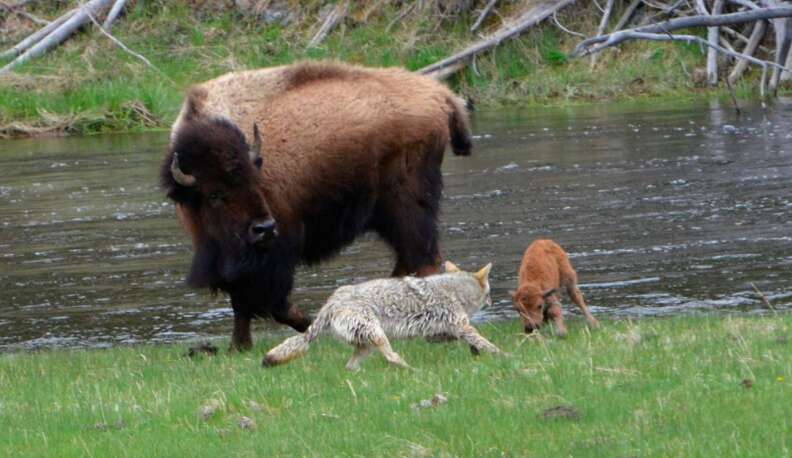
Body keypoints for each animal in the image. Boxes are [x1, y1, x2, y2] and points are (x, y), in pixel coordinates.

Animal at [160, 60, 470, 350]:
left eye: (255, 181)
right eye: (214, 194)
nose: (263, 229)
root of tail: (440, 94)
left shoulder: (275, 256)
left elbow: (273, 304)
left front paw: (310, 327)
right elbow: (242, 304)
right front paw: (239, 346)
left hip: (406, 207)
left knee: (424, 259)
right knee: (409, 262)